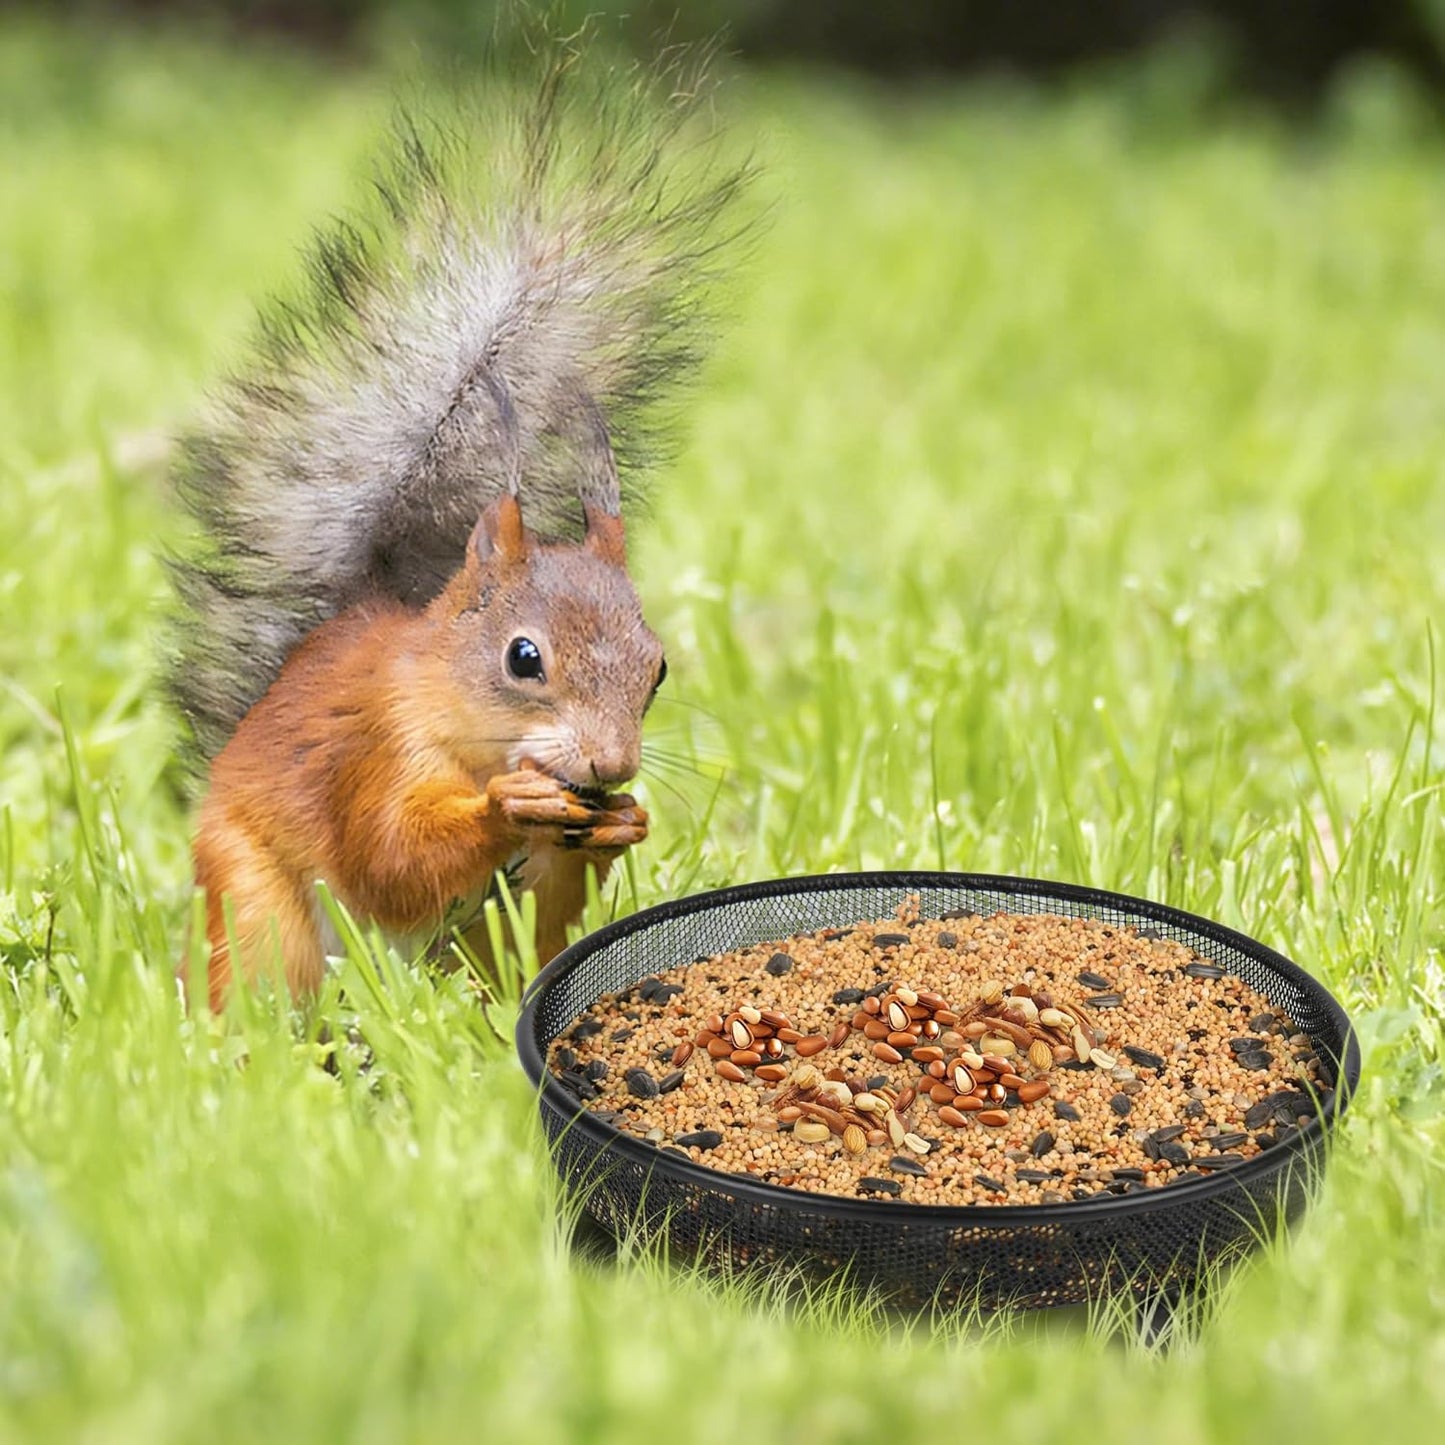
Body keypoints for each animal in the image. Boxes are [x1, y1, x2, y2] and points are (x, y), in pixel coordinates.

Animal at [167, 40, 746, 1009]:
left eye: (658, 667)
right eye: (524, 657)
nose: (611, 765)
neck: (475, 731)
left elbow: (554, 890)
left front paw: (627, 819)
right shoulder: (372, 752)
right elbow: (392, 857)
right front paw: (510, 808)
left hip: (480, 949)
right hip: (254, 912)